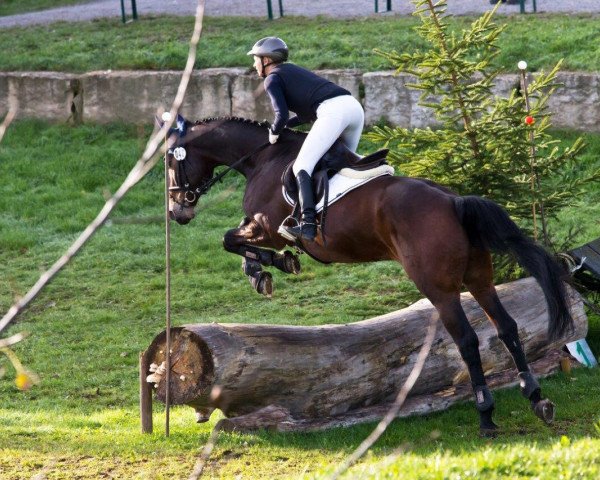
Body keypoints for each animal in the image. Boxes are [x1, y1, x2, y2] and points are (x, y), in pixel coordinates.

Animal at [163, 115, 572, 436]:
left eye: (170, 162)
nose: (176, 212)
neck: (261, 157)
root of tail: (453, 201)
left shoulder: (266, 227)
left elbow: (230, 238)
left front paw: (269, 266)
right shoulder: (260, 227)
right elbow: (234, 242)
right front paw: (264, 269)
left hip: (439, 289)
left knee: (468, 341)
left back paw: (486, 415)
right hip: (479, 279)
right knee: (507, 327)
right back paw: (536, 397)